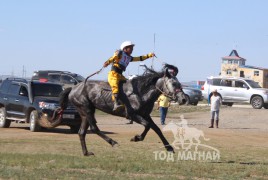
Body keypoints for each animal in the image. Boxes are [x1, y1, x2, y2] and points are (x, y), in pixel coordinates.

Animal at [42, 64, 185, 156]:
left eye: (179, 84)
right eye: (174, 83)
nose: (183, 99)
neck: (140, 92)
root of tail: (73, 88)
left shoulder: (145, 115)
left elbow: (156, 128)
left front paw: (169, 148)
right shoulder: (133, 115)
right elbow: (148, 126)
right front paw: (136, 137)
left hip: (84, 113)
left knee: (82, 132)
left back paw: (86, 153)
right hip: (87, 109)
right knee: (94, 128)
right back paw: (112, 142)